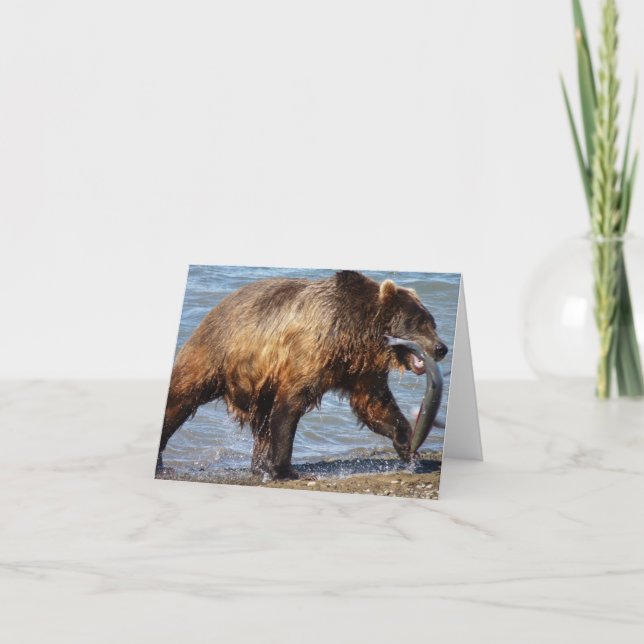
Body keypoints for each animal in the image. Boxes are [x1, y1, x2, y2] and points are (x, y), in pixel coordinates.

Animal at [156, 270, 448, 480]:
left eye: (432, 322)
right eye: (418, 322)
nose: (441, 348)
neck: (355, 338)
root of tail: (215, 308)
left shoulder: (361, 371)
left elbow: (375, 406)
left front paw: (408, 445)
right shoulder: (310, 351)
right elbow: (291, 404)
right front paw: (284, 469)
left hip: (259, 383)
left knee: (262, 422)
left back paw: (258, 465)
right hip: (215, 354)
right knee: (181, 398)